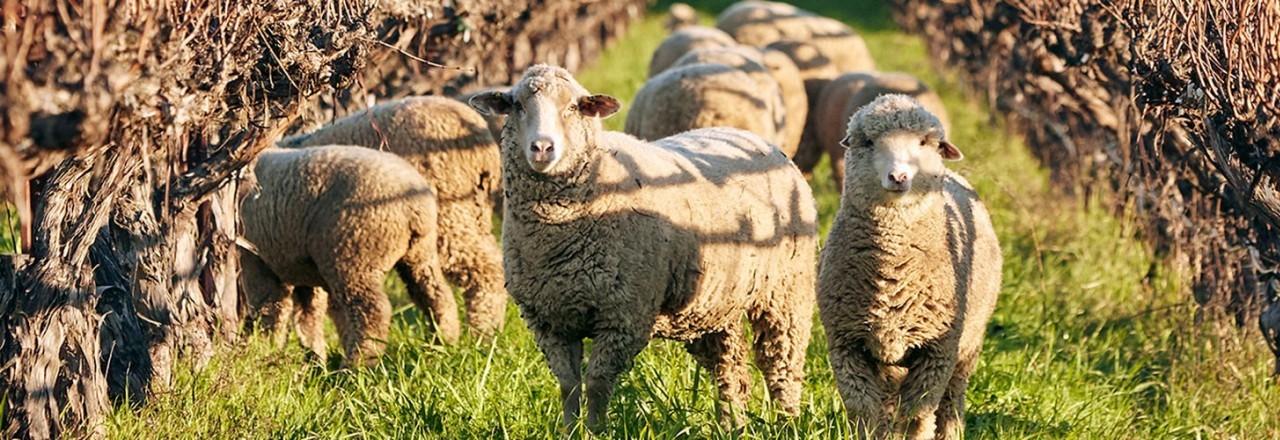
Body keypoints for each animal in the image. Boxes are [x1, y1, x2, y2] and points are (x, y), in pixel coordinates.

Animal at [240, 145, 460, 366]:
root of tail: (414, 207)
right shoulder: (302, 268)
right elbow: (308, 315)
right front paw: (314, 360)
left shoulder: (257, 260)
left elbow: (270, 309)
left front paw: (265, 352)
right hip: (419, 253)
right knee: (436, 296)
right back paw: (442, 344)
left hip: (353, 256)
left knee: (371, 312)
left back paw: (357, 364)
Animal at [817, 95, 1001, 439]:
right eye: (869, 142)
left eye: (925, 142)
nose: (899, 177)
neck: (891, 272)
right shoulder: (846, 345)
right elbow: (865, 411)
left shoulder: (938, 350)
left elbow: (918, 413)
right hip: (889, 358)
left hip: (968, 345)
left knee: (951, 398)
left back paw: (950, 431)